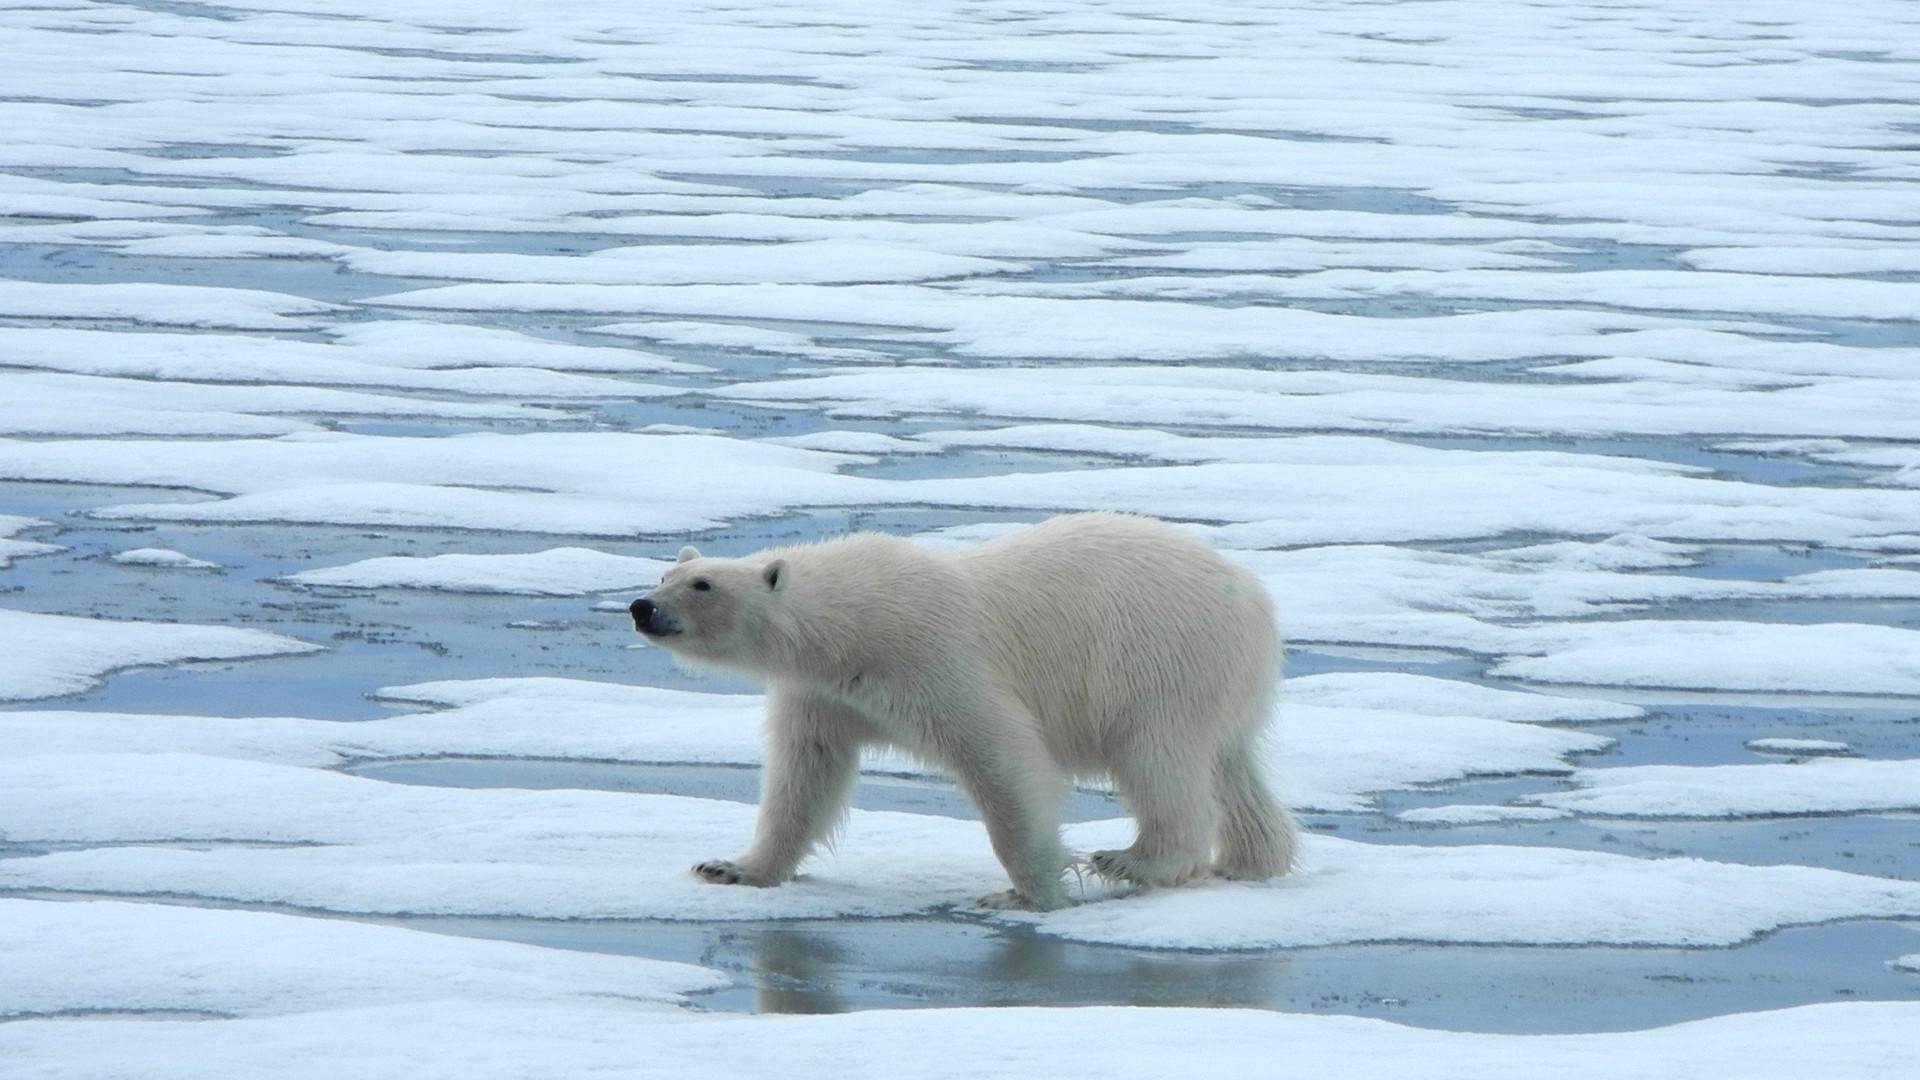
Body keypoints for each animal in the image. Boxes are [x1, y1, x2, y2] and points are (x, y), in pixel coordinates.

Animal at [625, 507, 1290, 903]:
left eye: (703, 584)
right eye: (665, 574)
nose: (641, 607)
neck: (853, 623)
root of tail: (1255, 595)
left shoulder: (933, 657)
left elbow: (1003, 759)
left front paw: (1029, 890)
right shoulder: (824, 693)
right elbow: (804, 776)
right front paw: (732, 867)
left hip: (1159, 657)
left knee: (1159, 758)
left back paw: (1134, 861)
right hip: (1218, 679)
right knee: (1230, 768)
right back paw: (1250, 861)